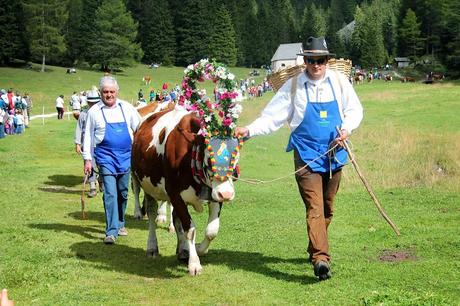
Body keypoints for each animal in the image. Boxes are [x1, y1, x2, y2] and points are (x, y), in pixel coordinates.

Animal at [130, 107, 241, 274]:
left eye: (235, 159)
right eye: (209, 159)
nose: (226, 194)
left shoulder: (214, 195)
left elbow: (211, 231)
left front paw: (198, 249)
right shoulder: (175, 194)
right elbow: (190, 229)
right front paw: (194, 263)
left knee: (176, 219)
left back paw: (182, 250)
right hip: (144, 183)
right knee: (150, 212)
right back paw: (152, 246)